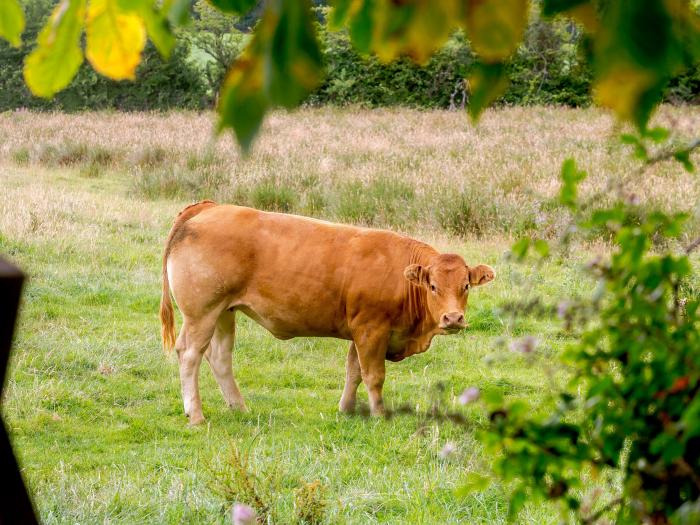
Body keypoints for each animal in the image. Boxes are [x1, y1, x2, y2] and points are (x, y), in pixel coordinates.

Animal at [161, 199, 494, 424]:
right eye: (433, 286)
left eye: (466, 285)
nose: (453, 318)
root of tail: (210, 206)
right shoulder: (371, 329)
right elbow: (373, 375)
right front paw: (379, 413)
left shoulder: (362, 332)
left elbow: (354, 371)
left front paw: (346, 409)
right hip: (202, 313)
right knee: (189, 354)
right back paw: (196, 415)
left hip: (224, 312)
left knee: (220, 357)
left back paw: (239, 407)